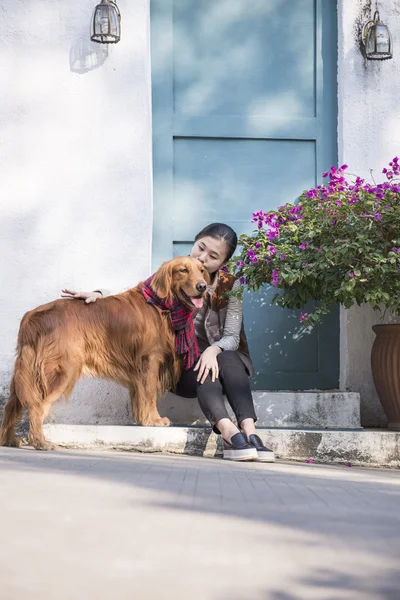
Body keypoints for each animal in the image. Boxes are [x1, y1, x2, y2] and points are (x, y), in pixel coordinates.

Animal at [1, 258, 209, 450]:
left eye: (201, 270)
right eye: (183, 270)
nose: (203, 286)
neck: (162, 306)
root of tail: (32, 316)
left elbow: (140, 398)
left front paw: (144, 420)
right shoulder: (150, 361)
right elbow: (149, 395)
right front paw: (154, 420)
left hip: (25, 372)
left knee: (10, 405)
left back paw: (9, 440)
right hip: (62, 370)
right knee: (36, 406)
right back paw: (40, 442)